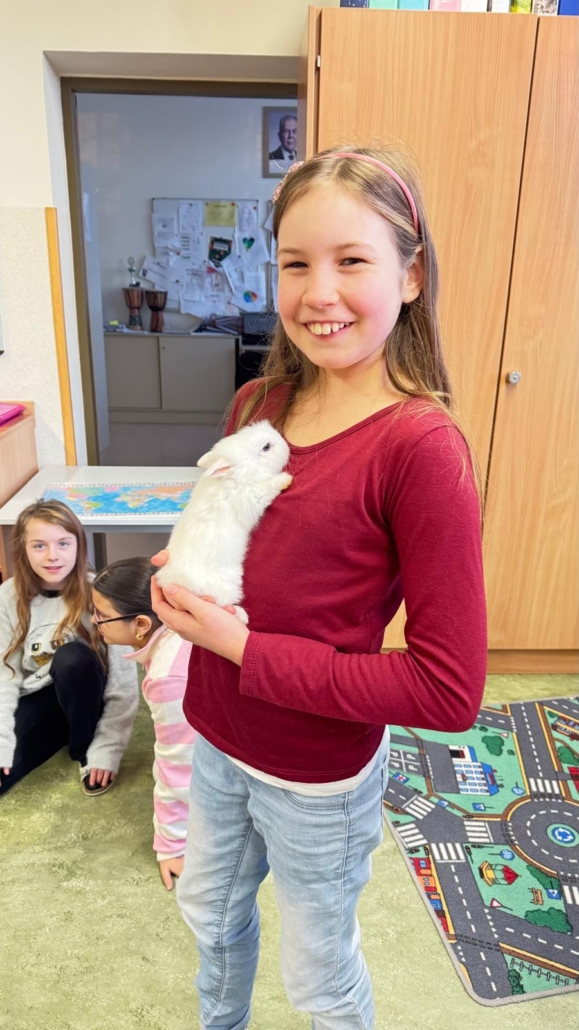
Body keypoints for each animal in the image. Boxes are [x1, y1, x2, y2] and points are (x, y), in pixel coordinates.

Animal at [155, 420, 292, 625]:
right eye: (266, 447)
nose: (287, 446)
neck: (237, 475)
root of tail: (175, 583)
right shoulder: (254, 494)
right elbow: (268, 487)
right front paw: (286, 479)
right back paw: (241, 616)